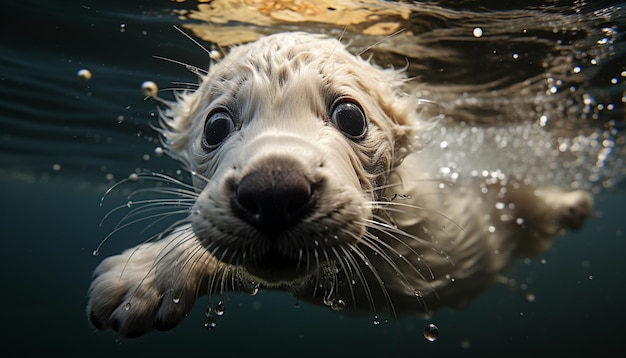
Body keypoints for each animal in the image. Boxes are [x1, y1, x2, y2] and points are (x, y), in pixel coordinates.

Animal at [86, 32, 588, 338]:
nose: (273, 192)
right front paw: (148, 275)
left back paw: (573, 204)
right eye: (215, 125)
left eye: (350, 116)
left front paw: (144, 276)